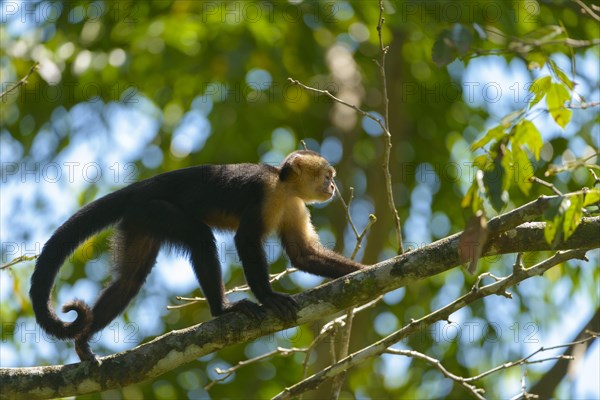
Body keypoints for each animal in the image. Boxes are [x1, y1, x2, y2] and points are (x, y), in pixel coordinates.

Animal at [29, 151, 366, 362]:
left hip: (139, 218)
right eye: (326, 175)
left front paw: (365, 270)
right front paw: (268, 298)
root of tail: (142, 186)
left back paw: (83, 340)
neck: (284, 187)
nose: (332, 186)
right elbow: (246, 241)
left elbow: (303, 254)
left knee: (128, 281)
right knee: (201, 239)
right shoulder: (265, 193)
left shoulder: (295, 205)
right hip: (154, 208)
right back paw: (222, 310)